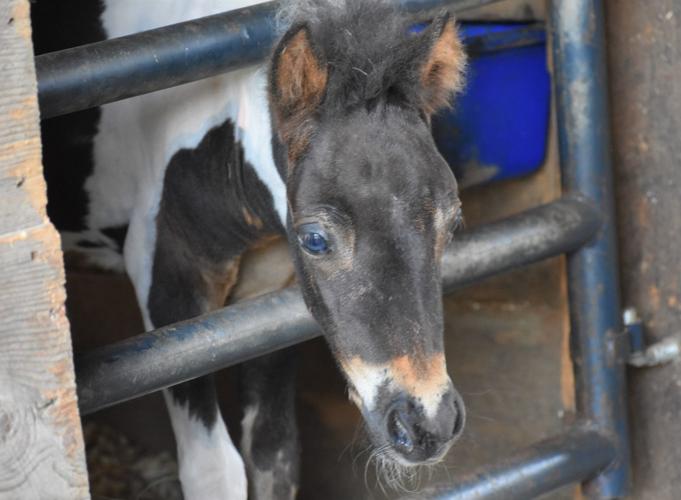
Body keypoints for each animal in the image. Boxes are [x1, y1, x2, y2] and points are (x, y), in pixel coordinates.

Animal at [32, 0, 467, 498]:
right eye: (314, 239)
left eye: (453, 223)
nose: (426, 424)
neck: (224, 149)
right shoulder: (170, 295)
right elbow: (214, 468)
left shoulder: (265, 304)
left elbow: (273, 455)